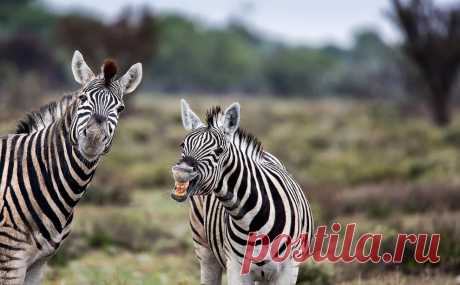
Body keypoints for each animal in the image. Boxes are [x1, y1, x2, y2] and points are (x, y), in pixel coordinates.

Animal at [171, 100, 314, 284]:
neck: (253, 222)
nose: (180, 172)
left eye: (219, 151)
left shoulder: (288, 269)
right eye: (183, 145)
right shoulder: (236, 267)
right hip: (204, 249)